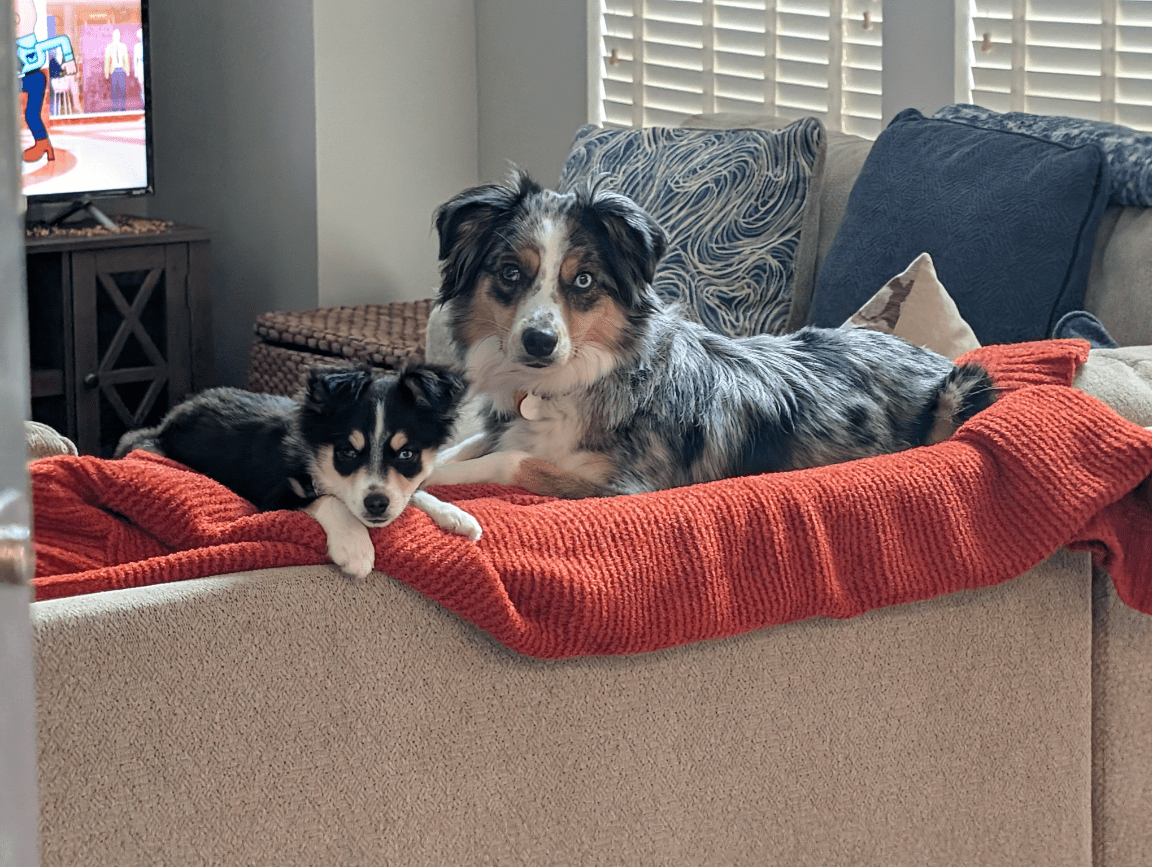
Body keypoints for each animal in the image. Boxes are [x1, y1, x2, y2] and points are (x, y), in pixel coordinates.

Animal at [114, 364, 481, 580]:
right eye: (347, 452)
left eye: (406, 454)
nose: (377, 505)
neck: (318, 457)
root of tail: (170, 418)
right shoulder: (276, 495)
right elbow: (329, 500)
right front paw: (355, 547)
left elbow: (414, 492)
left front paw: (457, 516)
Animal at [424, 170, 998, 497]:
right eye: (510, 273)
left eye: (582, 280)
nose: (539, 342)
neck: (565, 387)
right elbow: (467, 444)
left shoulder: (632, 488)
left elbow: (514, 461)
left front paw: (430, 482)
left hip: (963, 390)